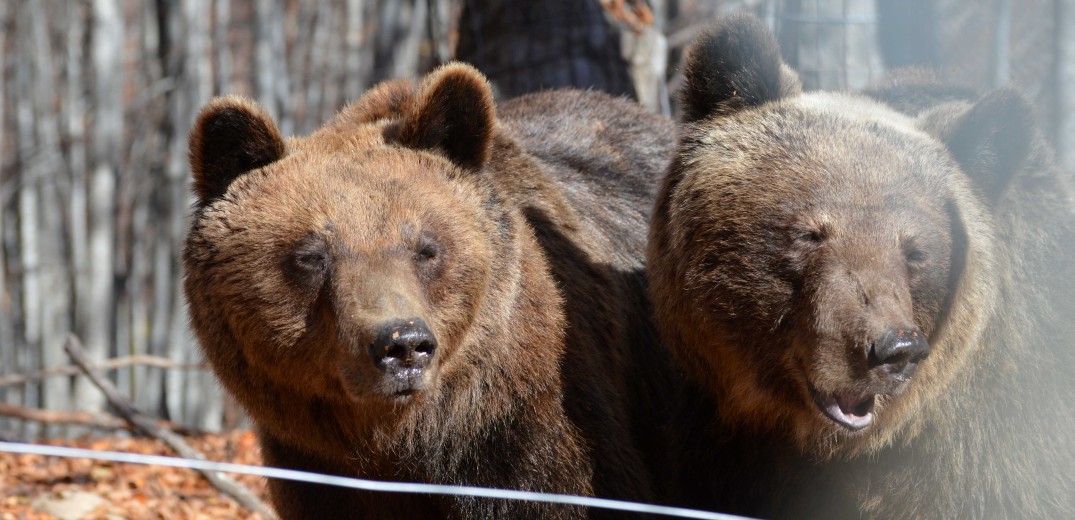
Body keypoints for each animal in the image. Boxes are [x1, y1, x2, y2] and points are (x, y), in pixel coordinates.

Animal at [182, 62, 670, 517]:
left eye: (426, 247)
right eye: (312, 254)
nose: (403, 345)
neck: (412, 440)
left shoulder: (533, 442)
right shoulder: (317, 471)